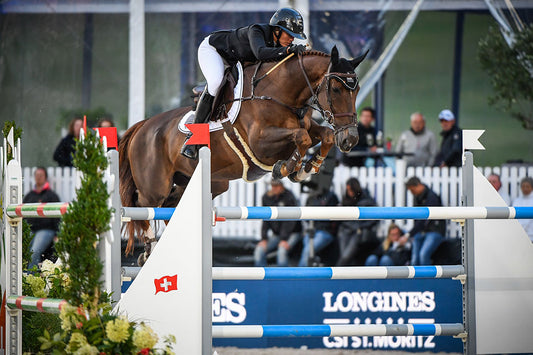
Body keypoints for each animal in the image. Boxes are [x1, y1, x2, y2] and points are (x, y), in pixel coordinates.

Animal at [119, 46, 366, 254]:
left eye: (357, 91)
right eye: (336, 89)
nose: (350, 139)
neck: (279, 93)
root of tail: (142, 126)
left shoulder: (307, 126)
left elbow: (323, 135)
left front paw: (306, 169)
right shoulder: (260, 143)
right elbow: (301, 137)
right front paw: (286, 168)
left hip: (203, 183)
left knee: (171, 206)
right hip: (154, 188)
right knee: (140, 206)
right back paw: (148, 249)